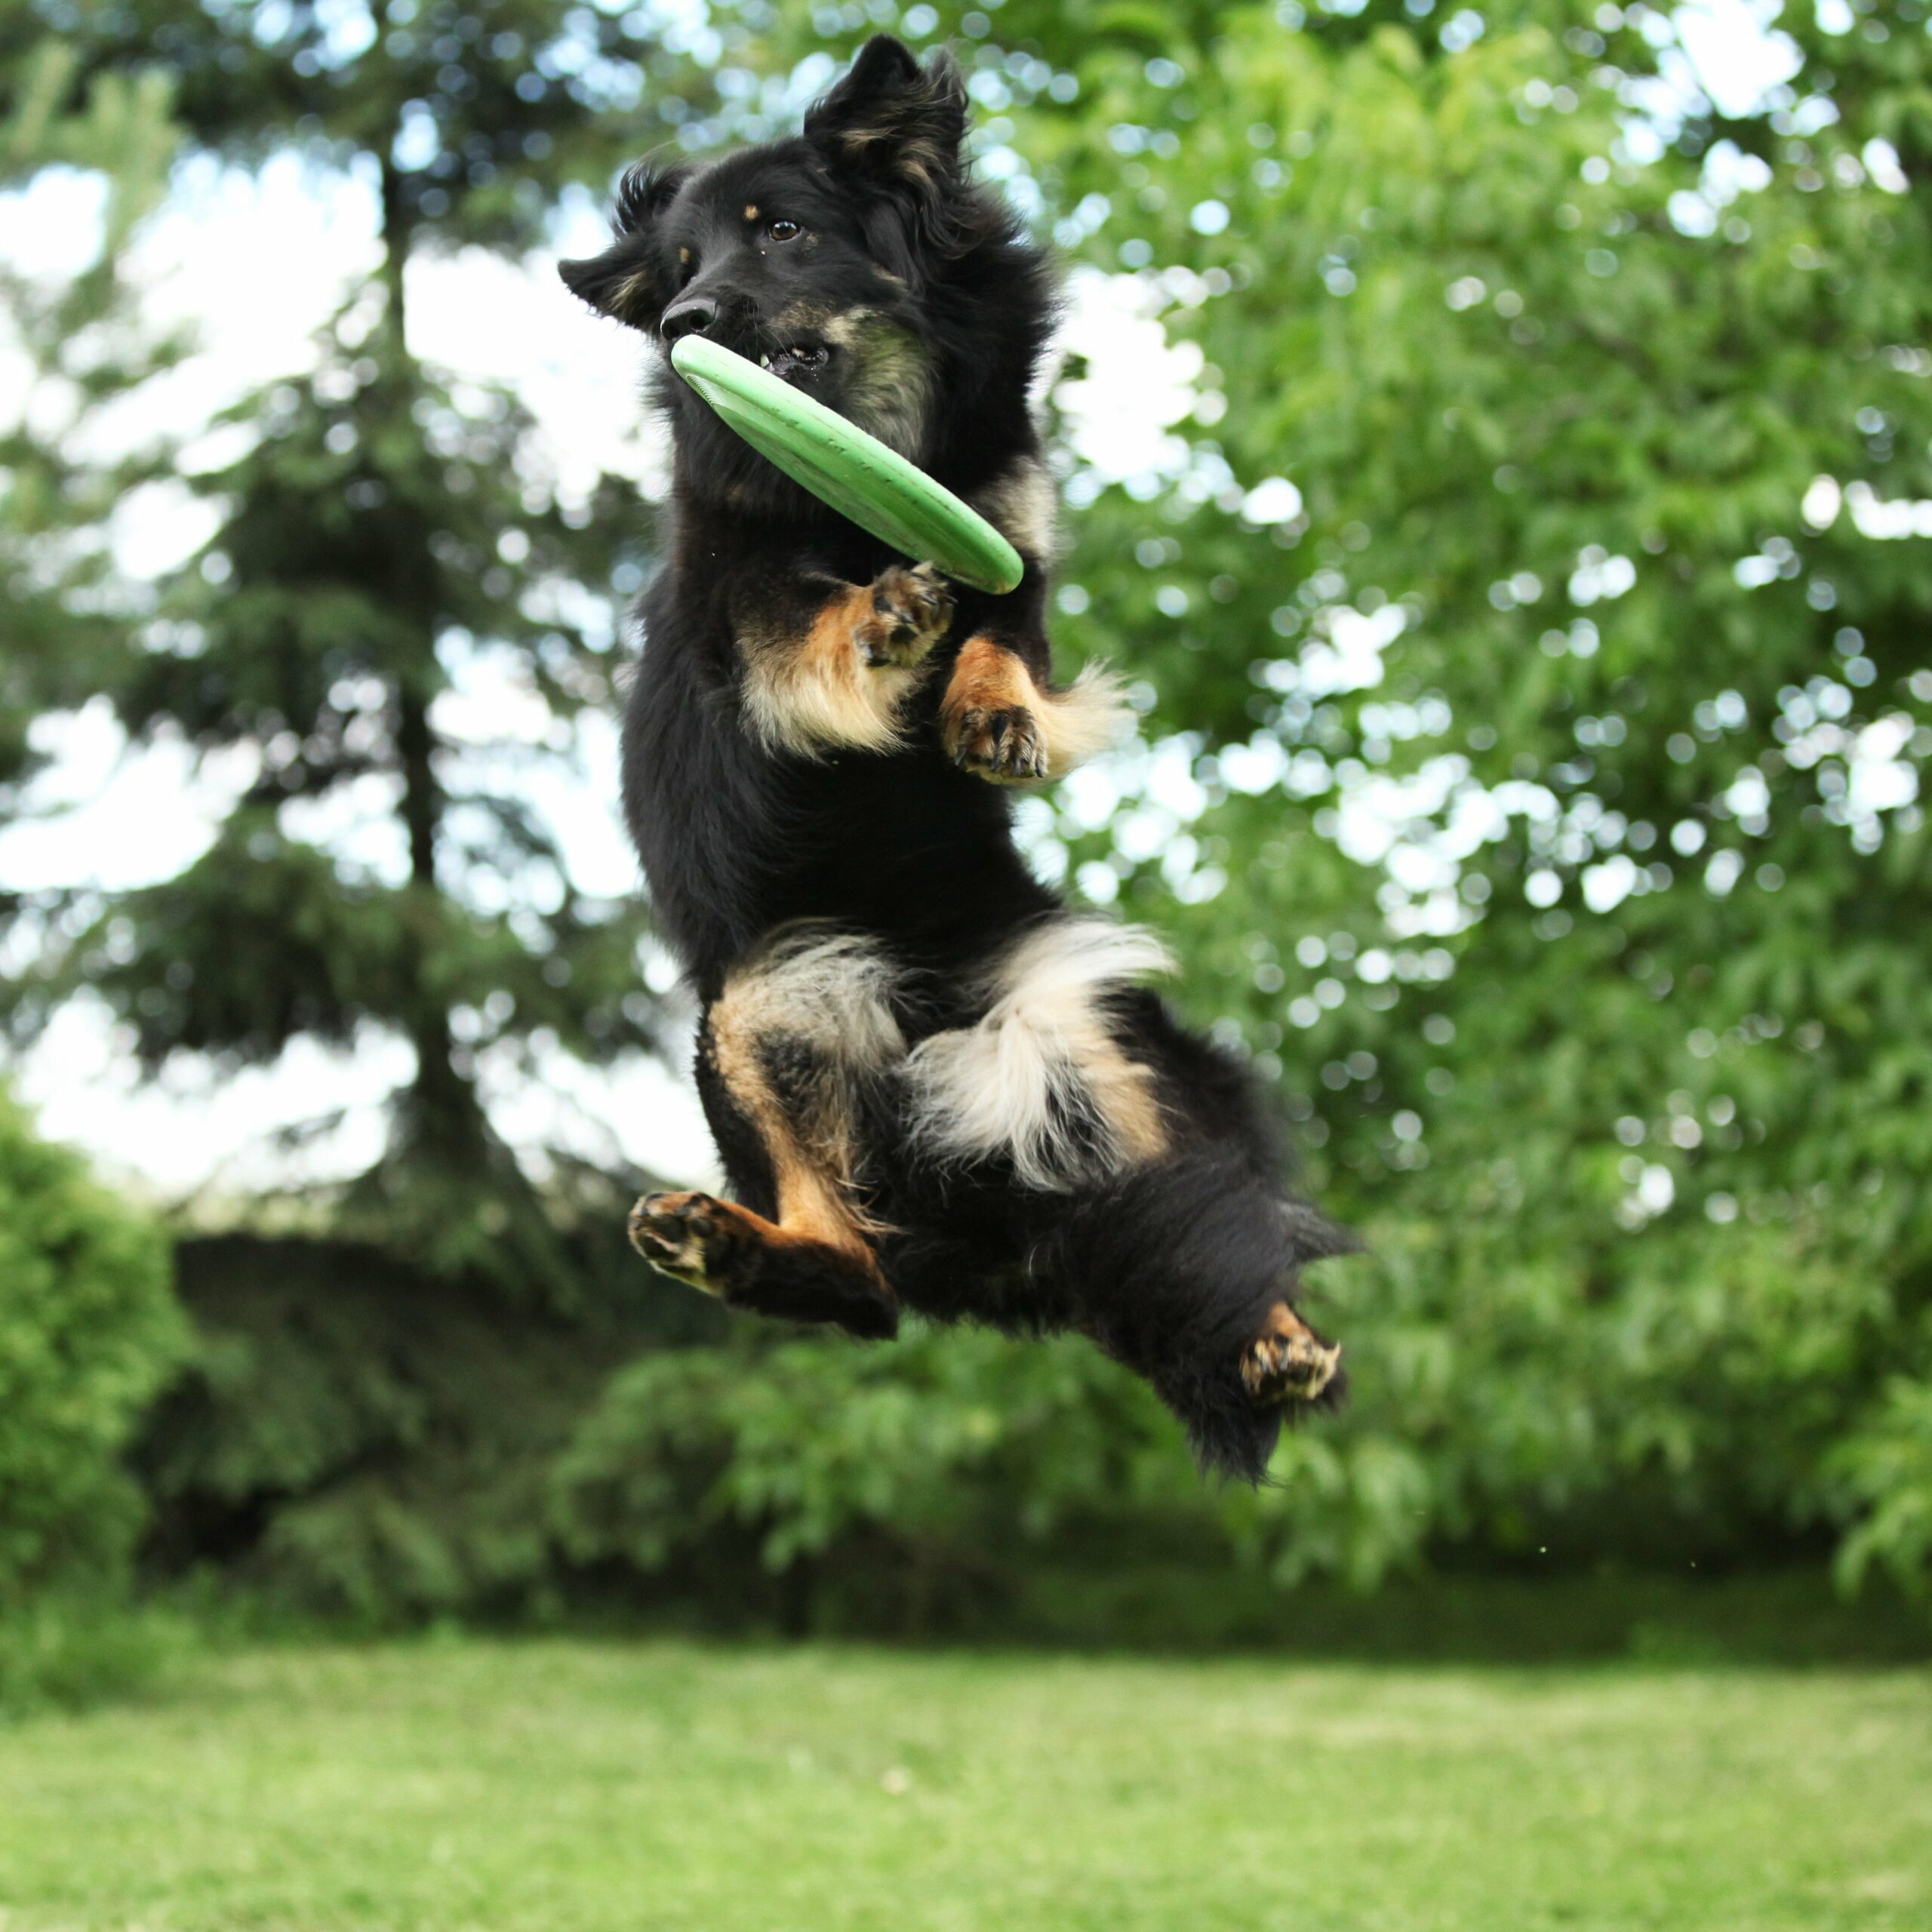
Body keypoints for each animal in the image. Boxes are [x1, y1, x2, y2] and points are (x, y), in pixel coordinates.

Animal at [560, 34, 1344, 1475]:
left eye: (781, 231)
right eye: (682, 265)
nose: (687, 324)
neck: (878, 448)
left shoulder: (1016, 546)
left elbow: (1006, 638)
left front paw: (990, 717)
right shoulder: (740, 597)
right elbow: (814, 628)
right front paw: (884, 618)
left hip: (1085, 1031)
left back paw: (1272, 1340)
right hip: (764, 1000)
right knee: (858, 1274)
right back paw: (721, 1241)